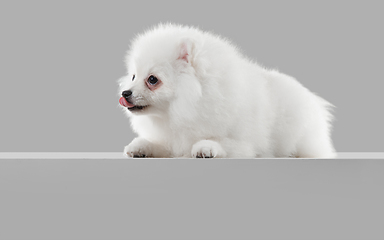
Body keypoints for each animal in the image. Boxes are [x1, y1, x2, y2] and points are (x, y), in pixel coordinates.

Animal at [118, 23, 336, 158]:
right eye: (133, 77)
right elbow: (159, 144)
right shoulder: (172, 138)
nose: (125, 93)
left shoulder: (244, 143)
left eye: (152, 79)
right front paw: (140, 146)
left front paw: (205, 147)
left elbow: (220, 141)